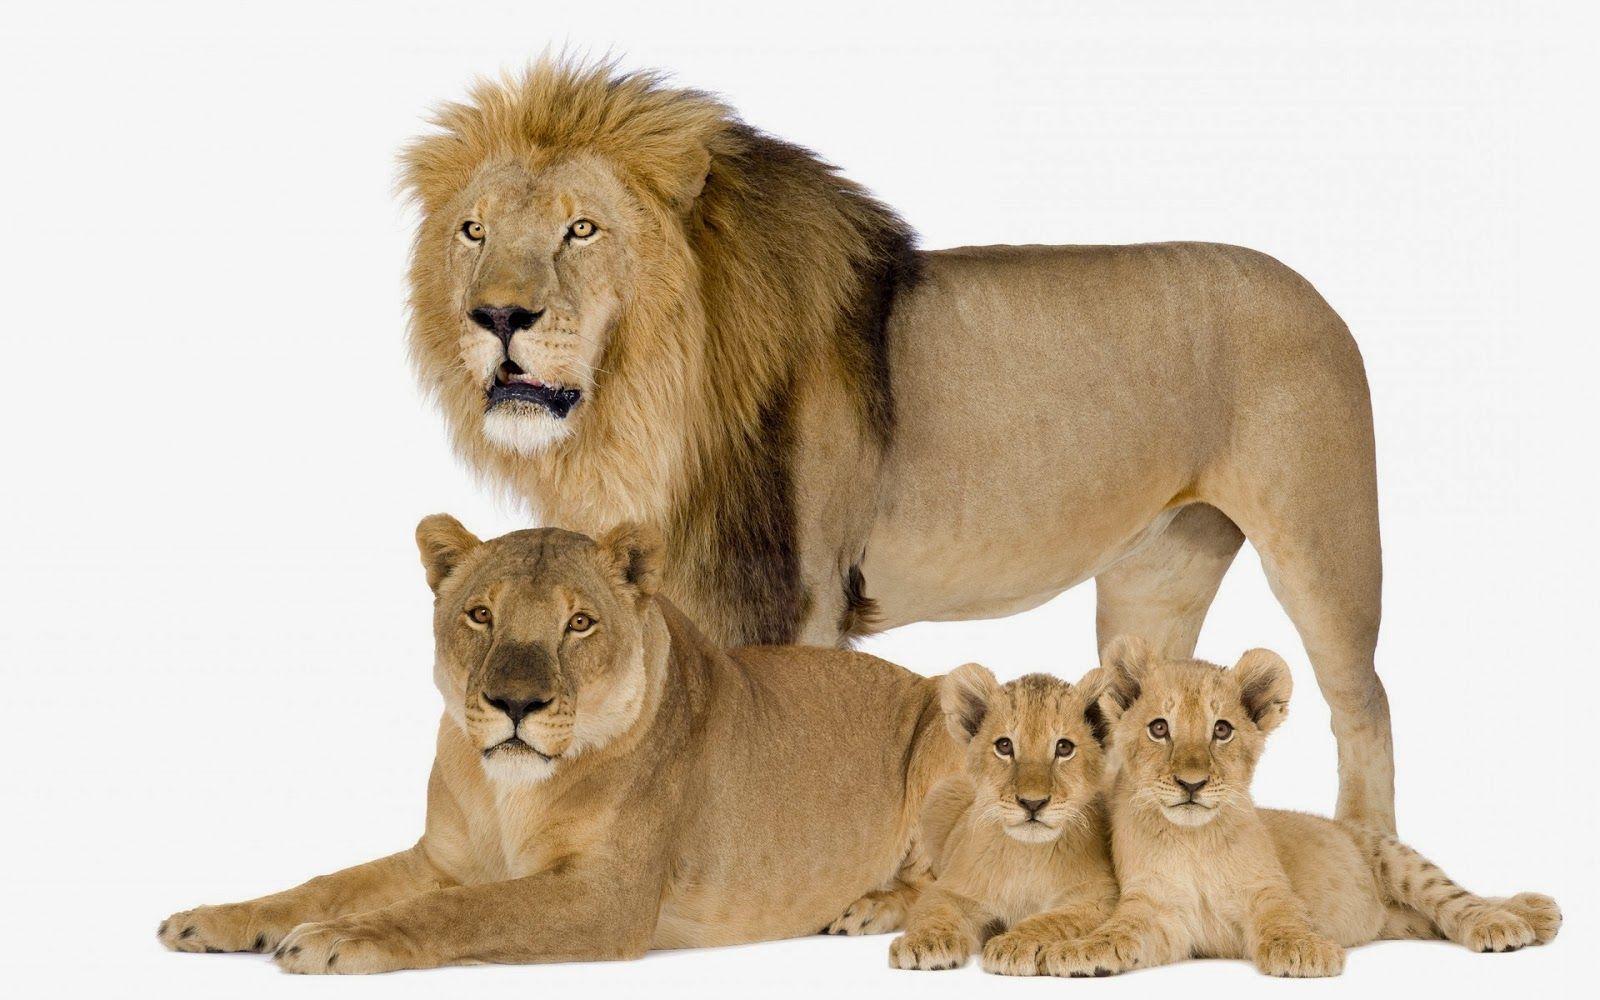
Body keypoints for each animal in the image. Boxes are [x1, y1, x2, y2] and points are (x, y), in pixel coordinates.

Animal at [157, 516, 961, 973]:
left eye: (579, 623)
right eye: (481, 614)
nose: (516, 704)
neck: (506, 791)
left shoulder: (608, 898)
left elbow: (465, 911)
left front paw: (334, 939)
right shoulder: (439, 860)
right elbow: (324, 882)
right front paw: (217, 919)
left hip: (947, 712)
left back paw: (867, 908)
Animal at [403, 60, 1396, 830]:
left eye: (582, 228)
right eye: (473, 230)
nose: (496, 316)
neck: (644, 407)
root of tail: (1315, 290)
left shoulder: (798, 595)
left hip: (1323, 545)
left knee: (1366, 704)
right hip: (1157, 572)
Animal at [887, 665, 1119, 974]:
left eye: (1064, 748)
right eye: (1005, 745)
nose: (1032, 803)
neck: (1027, 853)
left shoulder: (1099, 896)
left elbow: (1054, 919)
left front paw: (1015, 944)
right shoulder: (949, 888)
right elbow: (936, 911)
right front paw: (925, 942)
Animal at [1025, 636, 1560, 978]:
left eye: (1222, 730)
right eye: (1160, 728)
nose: (1191, 783)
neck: (1194, 839)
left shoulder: (1269, 889)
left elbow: (1282, 918)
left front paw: (1304, 953)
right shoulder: (1158, 911)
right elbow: (1120, 933)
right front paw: (1079, 951)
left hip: (1399, 861)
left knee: (1455, 897)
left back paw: (1511, 918)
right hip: (1402, 919)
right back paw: (1529, 915)